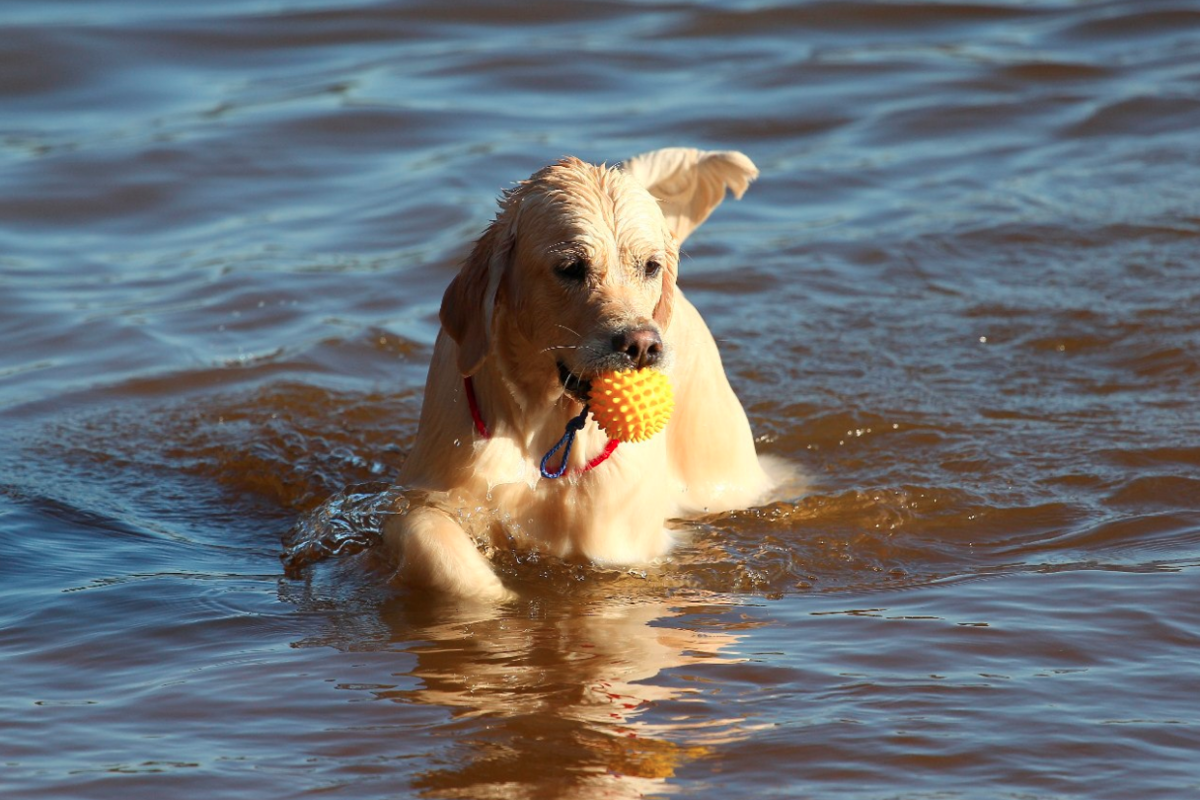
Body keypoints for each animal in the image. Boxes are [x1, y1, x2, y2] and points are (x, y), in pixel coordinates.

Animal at [386, 148, 777, 599]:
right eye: (571, 266)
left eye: (650, 266)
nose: (642, 344)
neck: (540, 421)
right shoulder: (426, 495)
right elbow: (435, 543)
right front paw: (498, 594)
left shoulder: (618, 541)